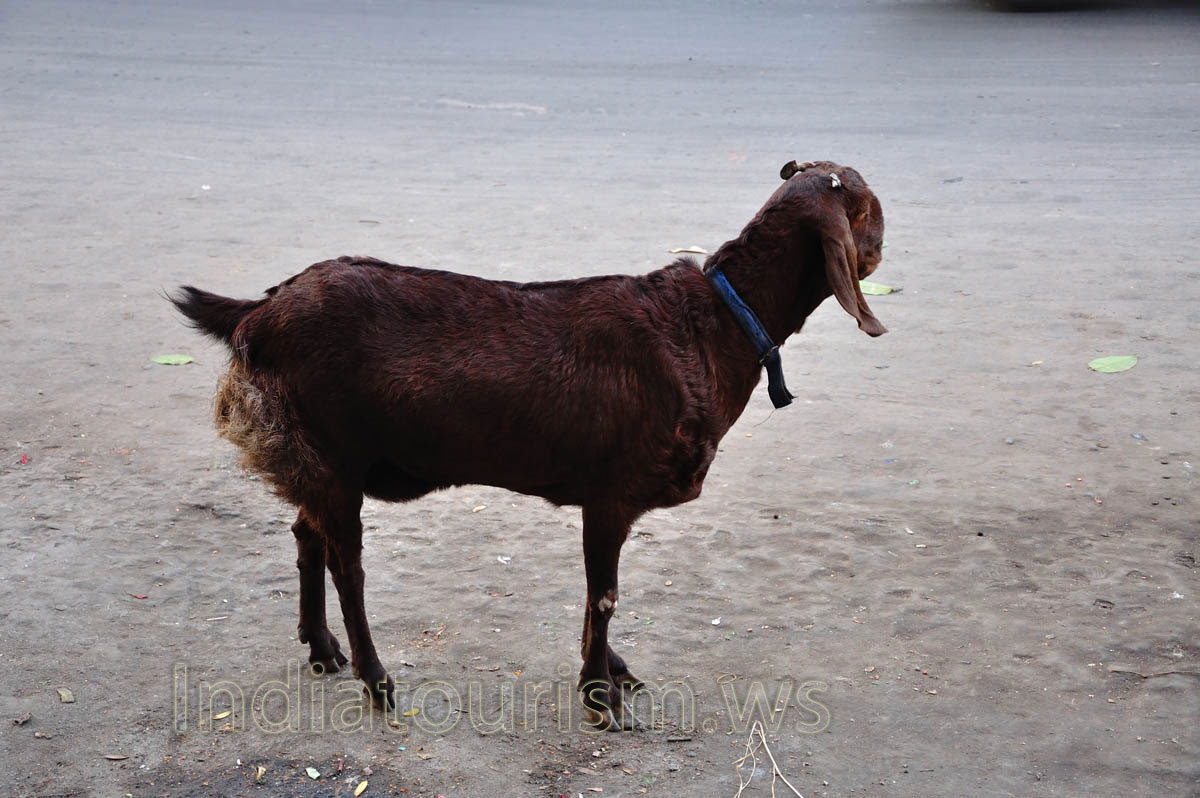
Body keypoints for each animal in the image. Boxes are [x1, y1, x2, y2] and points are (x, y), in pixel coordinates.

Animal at [171, 160, 886, 730]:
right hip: (334, 453)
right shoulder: (612, 491)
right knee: (347, 565)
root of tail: (257, 314)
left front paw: (611, 671)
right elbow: (605, 595)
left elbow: (600, 597)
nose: (883, 245)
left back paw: (320, 648)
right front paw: (599, 695)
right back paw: (376, 681)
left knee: (305, 534)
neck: (715, 325)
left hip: (314, 457)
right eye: (867, 210)